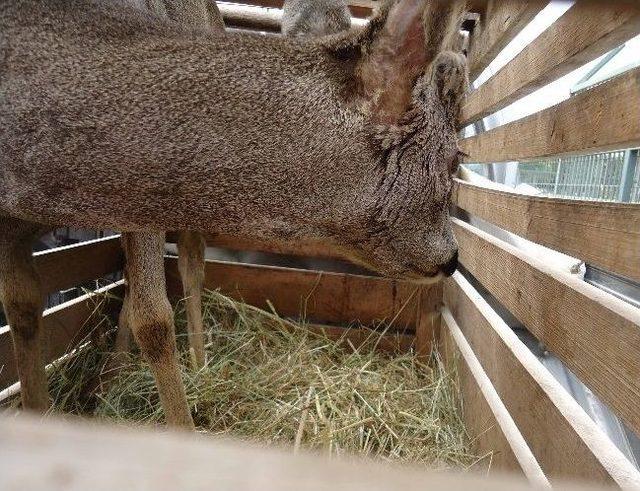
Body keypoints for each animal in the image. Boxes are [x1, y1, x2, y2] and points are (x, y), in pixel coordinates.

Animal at [0, 0, 470, 430]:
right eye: (453, 160)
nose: (453, 257)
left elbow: (152, 316)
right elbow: (24, 304)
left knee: (189, 264)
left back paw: (191, 362)